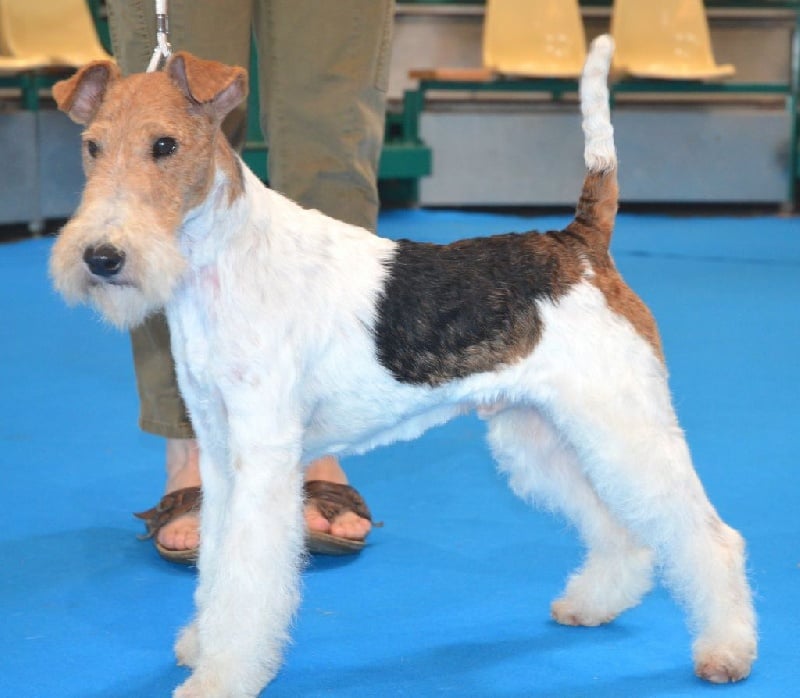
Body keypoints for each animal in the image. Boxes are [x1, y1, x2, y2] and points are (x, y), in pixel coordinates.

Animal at [50, 36, 756, 697]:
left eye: (165, 145)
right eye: (92, 146)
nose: (102, 257)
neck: (223, 261)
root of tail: (580, 243)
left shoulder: (264, 458)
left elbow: (246, 578)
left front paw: (221, 676)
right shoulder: (222, 454)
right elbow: (217, 565)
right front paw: (204, 644)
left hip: (621, 424)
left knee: (710, 536)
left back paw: (726, 650)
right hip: (542, 433)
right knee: (623, 529)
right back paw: (593, 603)